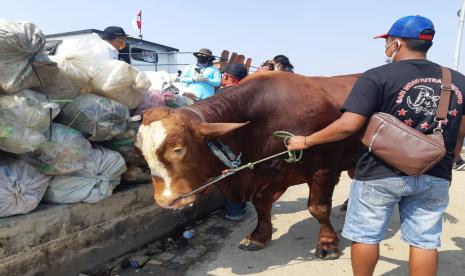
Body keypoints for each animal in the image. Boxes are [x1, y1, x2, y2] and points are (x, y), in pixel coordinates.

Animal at [137, 71, 358, 258]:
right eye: (142, 152)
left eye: (178, 149)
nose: (165, 200)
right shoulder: (272, 171)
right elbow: (261, 202)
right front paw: (258, 236)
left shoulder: (324, 170)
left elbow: (318, 208)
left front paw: (327, 243)